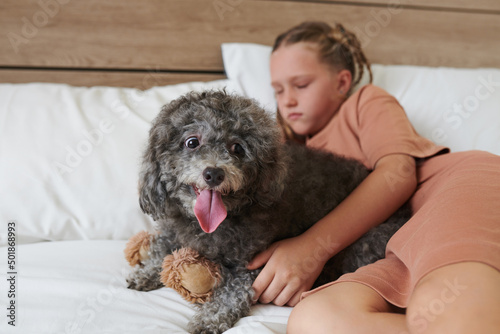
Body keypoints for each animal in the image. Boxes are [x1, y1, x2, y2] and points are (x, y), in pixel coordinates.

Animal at [126, 90, 410, 332]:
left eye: (237, 148)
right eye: (192, 142)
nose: (214, 173)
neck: (206, 226)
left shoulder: (249, 266)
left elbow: (232, 294)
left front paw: (209, 319)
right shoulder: (174, 231)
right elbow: (161, 248)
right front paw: (146, 273)